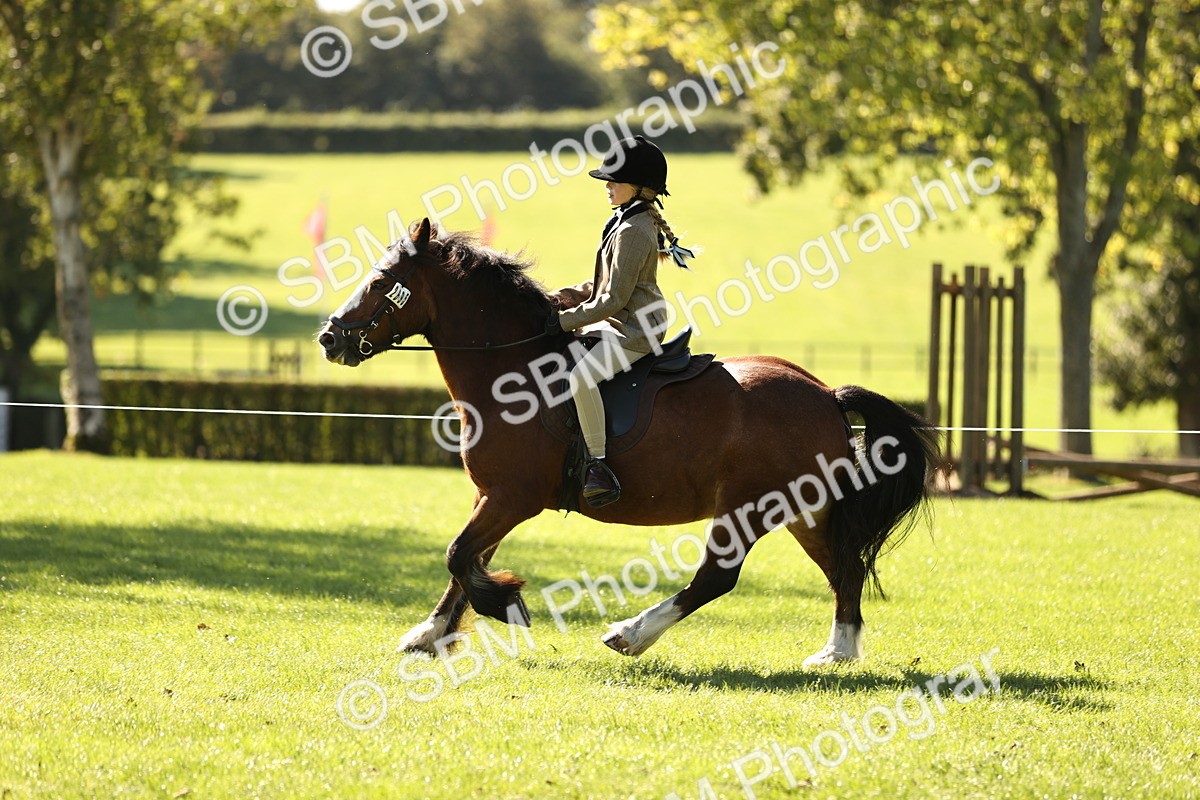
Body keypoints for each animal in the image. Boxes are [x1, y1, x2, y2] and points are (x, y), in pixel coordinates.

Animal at [316, 218, 939, 666]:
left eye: (380, 282)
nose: (329, 338)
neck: (512, 372)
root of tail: (826, 393)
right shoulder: (491, 495)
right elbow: (465, 561)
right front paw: (429, 635)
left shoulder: (514, 497)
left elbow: (459, 555)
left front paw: (508, 603)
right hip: (805, 509)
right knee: (843, 569)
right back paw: (837, 651)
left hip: (751, 507)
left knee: (719, 577)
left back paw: (630, 635)